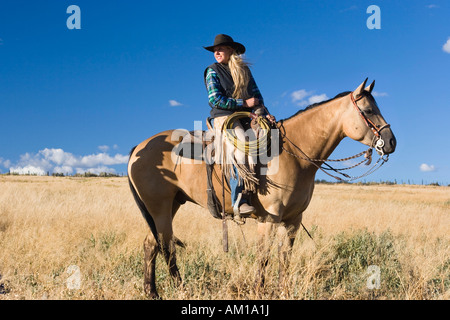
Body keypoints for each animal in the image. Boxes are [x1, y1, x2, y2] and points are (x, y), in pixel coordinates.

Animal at [127, 79, 398, 298]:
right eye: (369, 110)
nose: (391, 141)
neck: (292, 154)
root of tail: (139, 147)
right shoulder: (269, 219)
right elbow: (264, 257)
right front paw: (259, 291)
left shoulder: (293, 220)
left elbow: (284, 258)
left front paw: (284, 292)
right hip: (160, 209)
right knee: (167, 247)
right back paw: (181, 289)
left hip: (168, 206)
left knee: (151, 244)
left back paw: (151, 292)